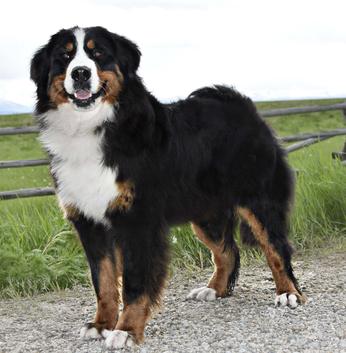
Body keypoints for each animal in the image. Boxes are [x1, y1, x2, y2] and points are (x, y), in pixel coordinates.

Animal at [29, 26, 306, 348]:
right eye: (65, 56)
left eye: (97, 53)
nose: (81, 73)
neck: (93, 128)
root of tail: (241, 104)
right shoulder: (90, 222)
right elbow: (104, 281)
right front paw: (101, 325)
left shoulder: (138, 220)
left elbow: (135, 283)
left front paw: (125, 331)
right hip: (206, 213)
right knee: (227, 252)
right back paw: (214, 289)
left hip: (258, 200)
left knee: (276, 247)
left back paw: (288, 293)